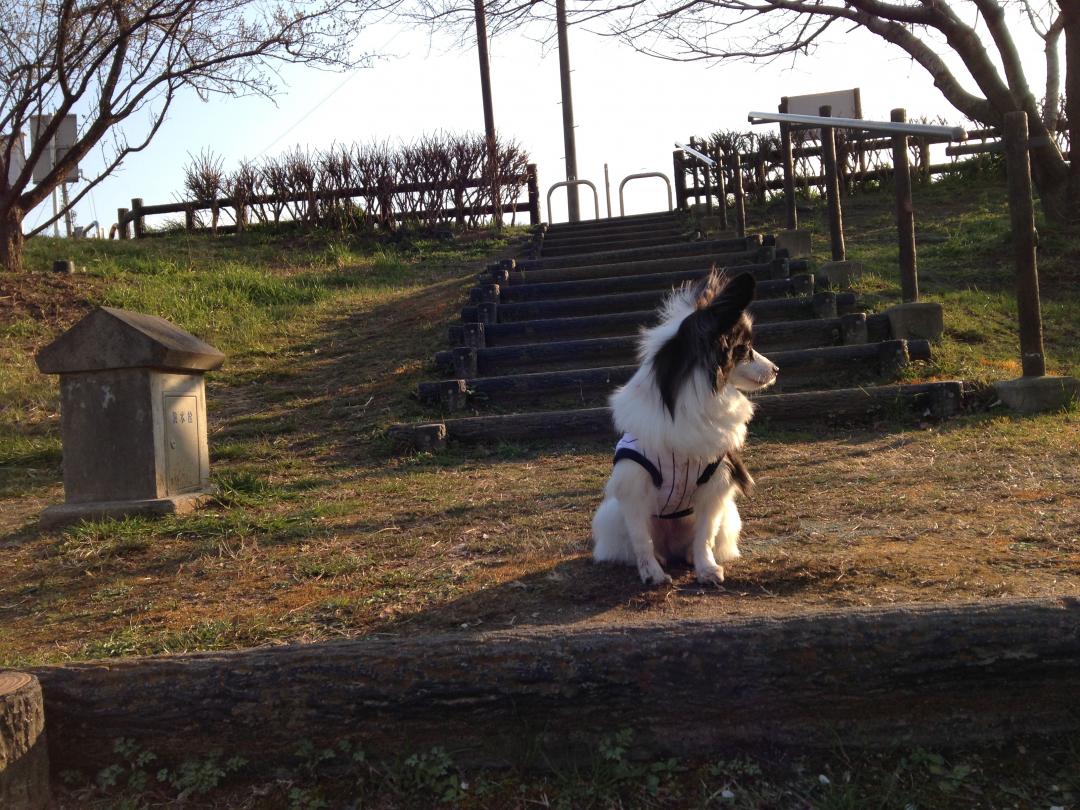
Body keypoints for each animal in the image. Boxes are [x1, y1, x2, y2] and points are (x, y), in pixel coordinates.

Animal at [591, 271, 777, 583]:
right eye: (745, 348)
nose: (776, 369)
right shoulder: (633, 488)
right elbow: (641, 540)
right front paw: (652, 574)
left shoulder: (714, 487)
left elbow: (705, 536)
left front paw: (706, 568)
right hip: (612, 514)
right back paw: (660, 559)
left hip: (728, 515)